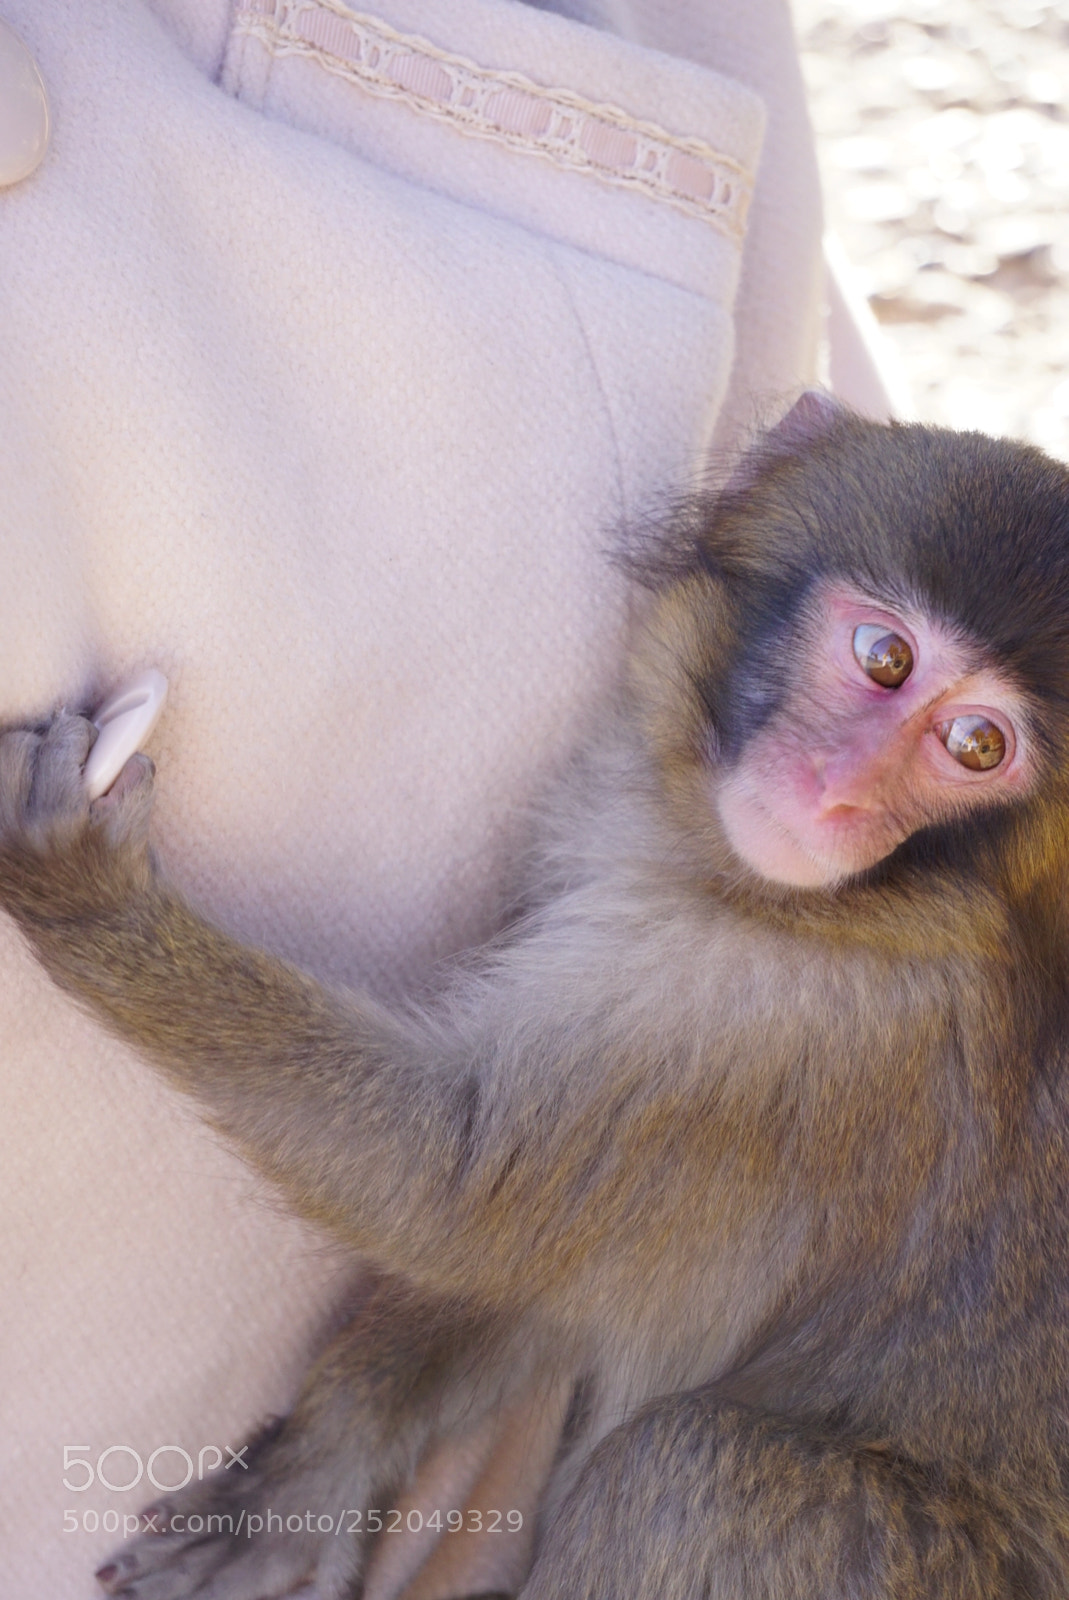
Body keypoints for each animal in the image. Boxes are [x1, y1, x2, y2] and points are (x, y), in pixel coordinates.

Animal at [3, 394, 1069, 1600]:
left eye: (977, 745)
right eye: (885, 657)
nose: (837, 792)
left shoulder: (801, 1024)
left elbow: (456, 1185)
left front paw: (87, 895)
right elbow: (556, 1265)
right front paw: (316, 1475)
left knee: (685, 1470)